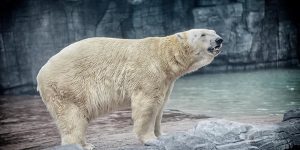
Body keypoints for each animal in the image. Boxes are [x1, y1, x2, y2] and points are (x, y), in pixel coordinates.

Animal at [36, 28, 223, 149]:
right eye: (203, 34)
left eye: (213, 31)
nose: (219, 39)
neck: (163, 57)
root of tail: (40, 74)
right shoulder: (148, 73)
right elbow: (147, 106)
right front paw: (150, 139)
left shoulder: (166, 81)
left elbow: (160, 106)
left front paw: (162, 135)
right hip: (68, 86)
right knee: (72, 117)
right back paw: (82, 145)